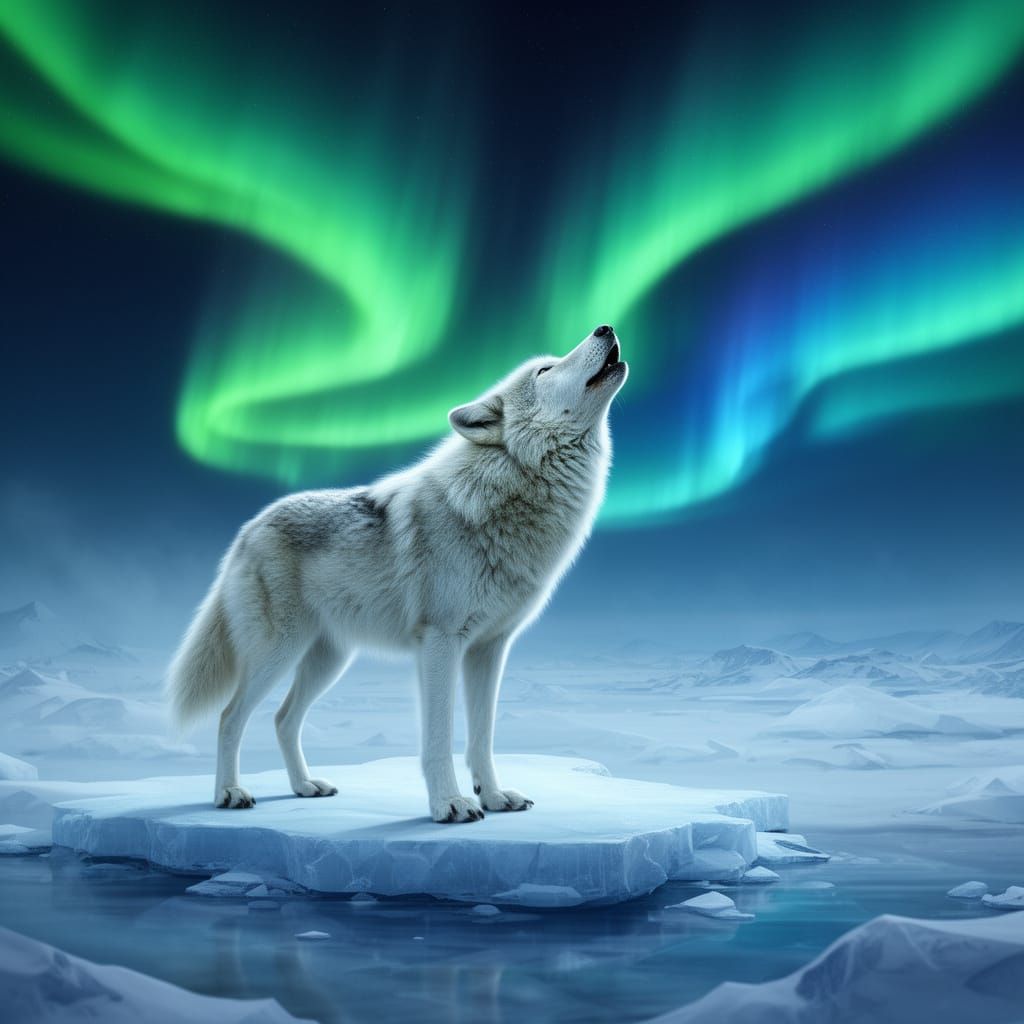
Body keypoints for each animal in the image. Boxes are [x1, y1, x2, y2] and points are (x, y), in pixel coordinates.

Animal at [167, 325, 627, 822]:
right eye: (545, 370)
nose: (605, 328)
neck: (505, 492)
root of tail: (248, 528)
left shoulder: (489, 649)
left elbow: (482, 736)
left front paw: (493, 796)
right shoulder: (441, 643)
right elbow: (439, 738)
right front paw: (450, 804)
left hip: (328, 660)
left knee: (283, 718)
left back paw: (304, 786)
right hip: (278, 652)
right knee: (230, 717)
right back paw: (229, 793)